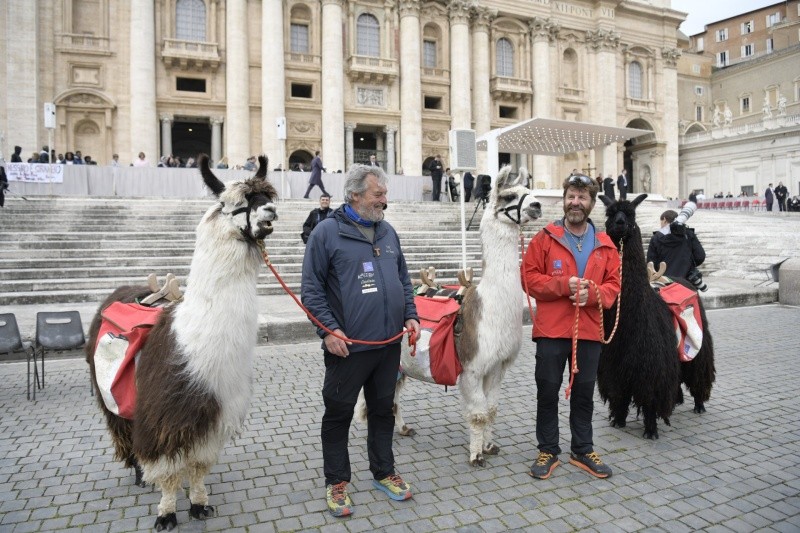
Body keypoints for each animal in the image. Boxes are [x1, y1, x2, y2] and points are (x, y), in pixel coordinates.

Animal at [86, 155, 278, 530]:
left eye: (267, 195)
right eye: (236, 204)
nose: (271, 211)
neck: (193, 343)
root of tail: (124, 290)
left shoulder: (213, 414)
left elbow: (199, 465)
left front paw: (200, 503)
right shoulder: (162, 416)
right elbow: (168, 472)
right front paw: (166, 513)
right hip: (112, 398)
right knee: (125, 431)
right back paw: (139, 475)